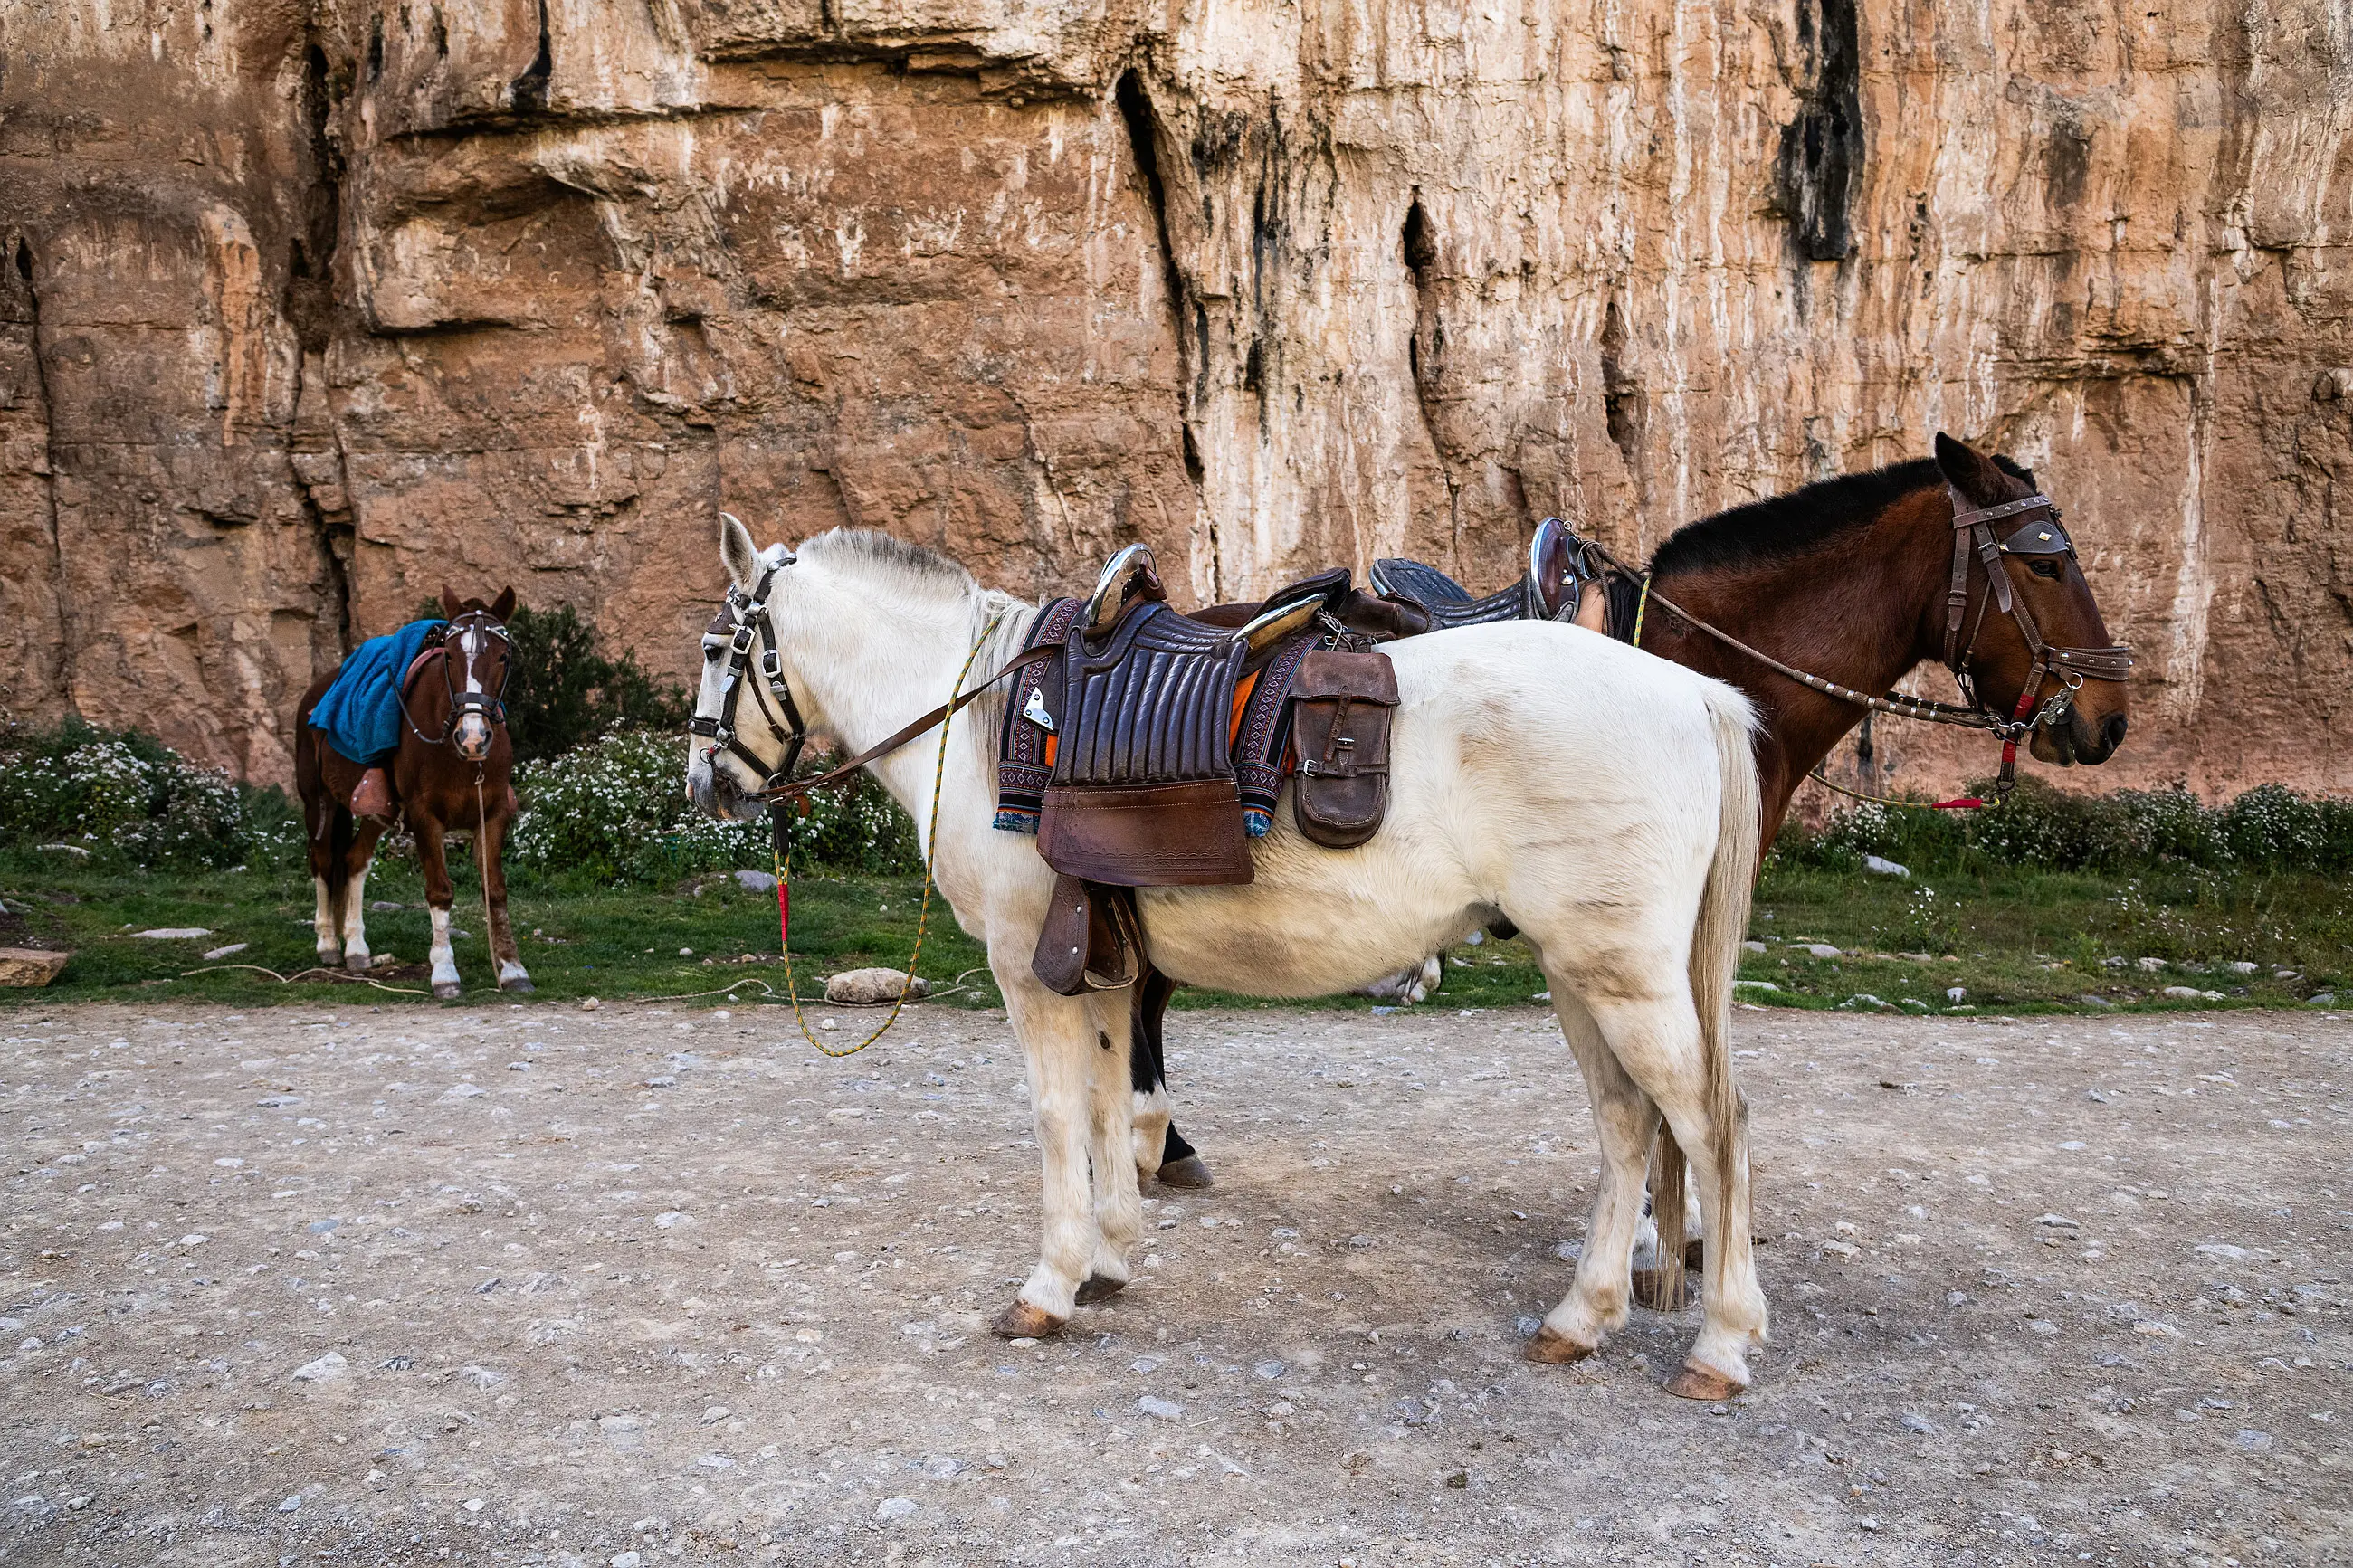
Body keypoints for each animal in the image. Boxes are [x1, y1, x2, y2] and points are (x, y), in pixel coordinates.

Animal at [293, 587, 533, 1001]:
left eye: (503, 657)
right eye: (449, 656)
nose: (473, 737)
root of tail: (315, 693)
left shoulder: (494, 814)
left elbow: (496, 891)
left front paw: (513, 969)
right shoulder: (425, 818)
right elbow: (440, 892)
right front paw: (445, 973)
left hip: (377, 813)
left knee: (355, 860)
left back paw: (356, 948)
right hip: (318, 801)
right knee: (322, 859)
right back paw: (328, 943)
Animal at [683, 520, 1774, 1399]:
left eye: (719, 648)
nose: (705, 782)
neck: (985, 719)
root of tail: (1691, 691)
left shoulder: (1029, 968)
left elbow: (1057, 1118)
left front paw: (1049, 1286)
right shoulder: (1105, 967)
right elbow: (1109, 1105)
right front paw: (1111, 1258)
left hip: (1620, 975)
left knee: (1710, 1125)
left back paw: (1719, 1343)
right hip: (1579, 970)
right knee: (1627, 1125)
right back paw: (1579, 1318)